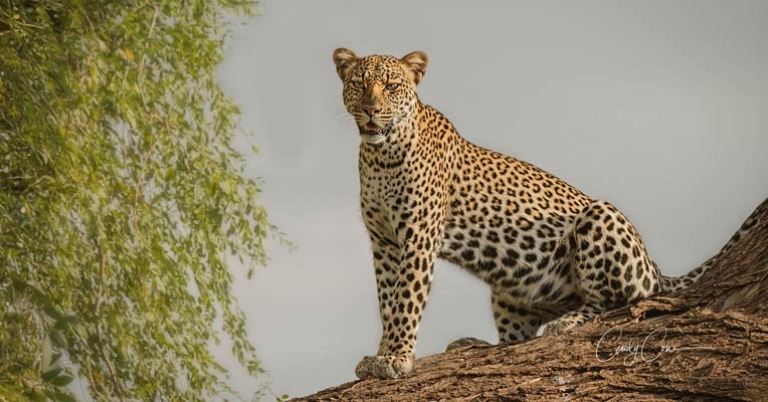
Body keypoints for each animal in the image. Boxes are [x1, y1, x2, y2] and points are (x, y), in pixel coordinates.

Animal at [331, 48, 745, 380]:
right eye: (358, 84)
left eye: (391, 86)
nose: (371, 109)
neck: (380, 155)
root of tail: (656, 267)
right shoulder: (385, 242)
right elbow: (387, 300)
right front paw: (381, 354)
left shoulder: (419, 234)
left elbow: (405, 299)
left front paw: (396, 358)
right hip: (507, 291)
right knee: (516, 338)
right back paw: (475, 344)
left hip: (600, 217)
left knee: (621, 302)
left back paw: (565, 323)